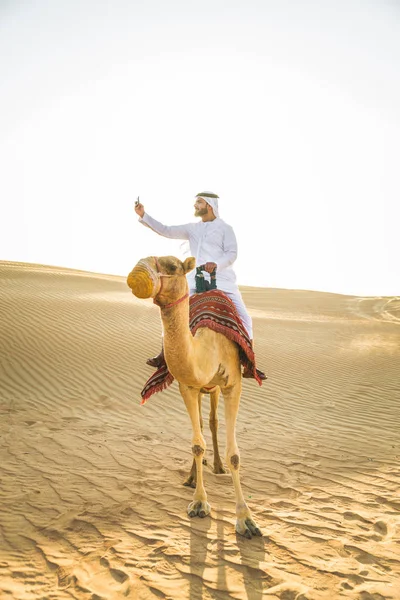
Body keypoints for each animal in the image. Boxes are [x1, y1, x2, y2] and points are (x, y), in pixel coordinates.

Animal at [126, 255, 260, 536]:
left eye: (173, 266)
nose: (137, 273)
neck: (207, 347)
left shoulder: (232, 385)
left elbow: (234, 454)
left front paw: (246, 519)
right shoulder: (188, 386)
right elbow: (197, 444)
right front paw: (199, 502)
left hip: (216, 389)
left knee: (213, 422)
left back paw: (217, 466)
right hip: (201, 390)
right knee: (200, 425)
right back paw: (190, 477)